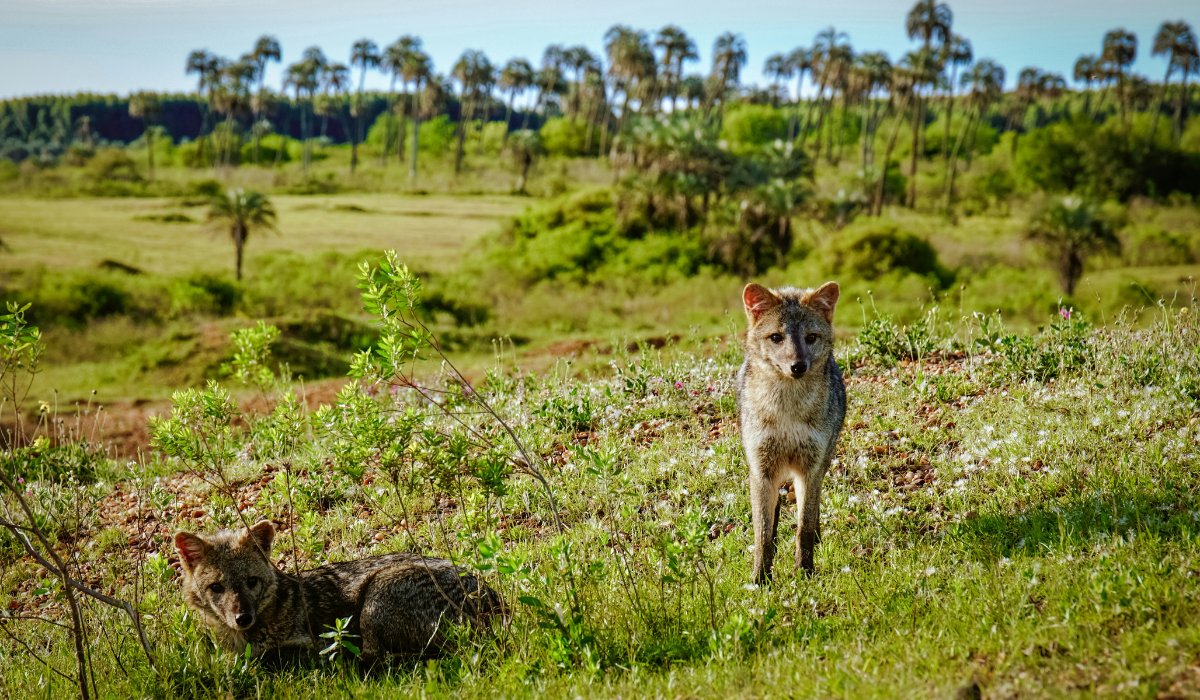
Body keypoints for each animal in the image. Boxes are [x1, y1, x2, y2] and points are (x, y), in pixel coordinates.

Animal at [174, 523, 501, 667]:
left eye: (251, 582)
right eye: (217, 588)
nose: (242, 617)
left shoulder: (310, 645)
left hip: (375, 596)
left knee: (376, 656)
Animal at [734, 282, 849, 583]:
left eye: (811, 338)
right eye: (776, 337)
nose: (798, 366)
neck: (787, 412)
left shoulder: (810, 469)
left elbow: (804, 528)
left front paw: (804, 572)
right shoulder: (761, 469)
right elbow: (762, 534)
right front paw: (760, 579)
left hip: (821, 463)